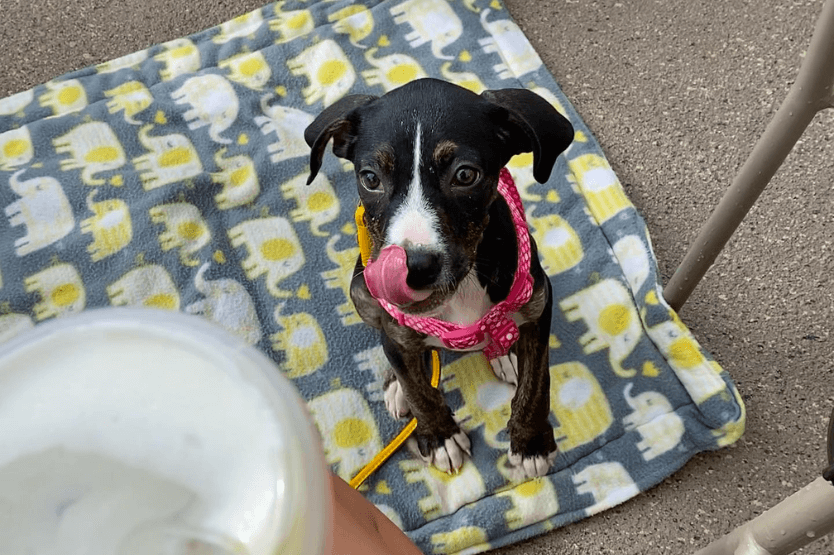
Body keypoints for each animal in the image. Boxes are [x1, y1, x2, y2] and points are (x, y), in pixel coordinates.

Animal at [306, 79, 572, 482]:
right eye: (370, 178)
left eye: (465, 175)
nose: (413, 267)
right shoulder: (392, 319)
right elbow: (418, 388)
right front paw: (440, 436)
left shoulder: (539, 306)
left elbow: (538, 382)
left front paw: (531, 443)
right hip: (360, 291)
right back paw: (397, 385)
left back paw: (503, 353)